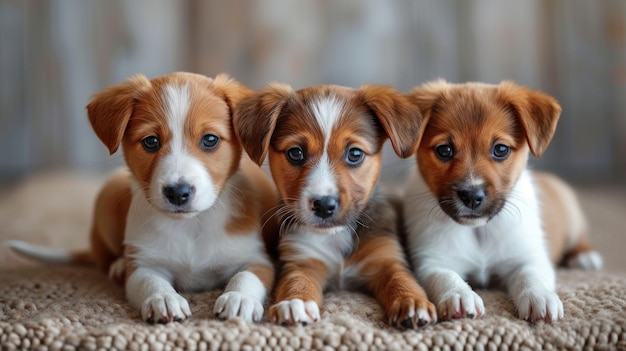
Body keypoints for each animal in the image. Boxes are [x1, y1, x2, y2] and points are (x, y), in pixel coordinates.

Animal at [7, 73, 278, 326]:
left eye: (210, 139)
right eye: (151, 141)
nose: (178, 192)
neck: (190, 226)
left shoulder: (255, 258)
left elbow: (246, 277)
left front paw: (239, 298)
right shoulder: (143, 264)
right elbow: (152, 282)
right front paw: (164, 299)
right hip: (108, 196)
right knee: (102, 256)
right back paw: (118, 265)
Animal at [233, 83, 434, 330]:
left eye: (355, 153)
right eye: (295, 153)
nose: (323, 205)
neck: (335, 237)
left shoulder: (386, 259)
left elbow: (403, 280)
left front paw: (412, 302)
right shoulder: (302, 261)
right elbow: (297, 282)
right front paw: (295, 302)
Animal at [400, 81, 600, 324]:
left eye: (501, 149)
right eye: (444, 150)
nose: (471, 197)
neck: (479, 231)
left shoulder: (529, 257)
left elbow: (531, 276)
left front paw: (540, 297)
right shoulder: (433, 261)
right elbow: (445, 277)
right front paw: (459, 295)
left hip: (572, 218)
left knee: (580, 237)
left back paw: (585, 256)